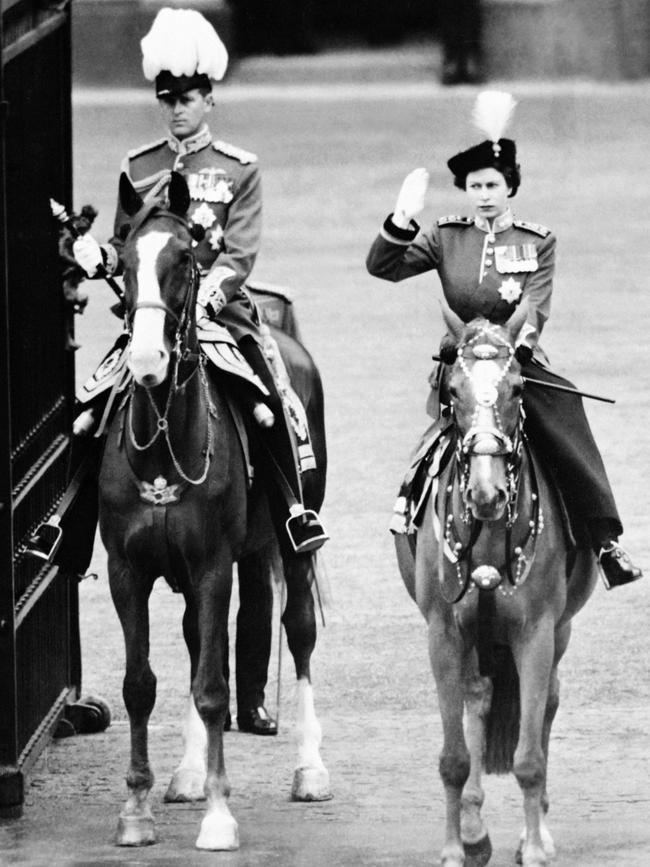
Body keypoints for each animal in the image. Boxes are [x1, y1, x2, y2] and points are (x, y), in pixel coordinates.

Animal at [99, 173, 332, 852]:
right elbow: (141, 685)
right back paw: (186, 772)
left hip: (292, 542)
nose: (147, 360)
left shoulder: (210, 568)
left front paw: (219, 816)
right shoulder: (127, 572)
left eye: (186, 258)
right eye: (122, 259)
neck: (163, 444)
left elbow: (210, 687)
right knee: (197, 640)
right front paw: (136, 810)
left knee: (298, 631)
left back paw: (309, 769)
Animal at [392, 308, 596, 864]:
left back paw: (536, 828)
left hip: (560, 632)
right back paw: (473, 827)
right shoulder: (443, 635)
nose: (487, 492)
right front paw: (455, 847)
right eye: (453, 390)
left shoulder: (537, 633)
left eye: (517, 388)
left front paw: (535, 847)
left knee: (546, 704)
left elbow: (529, 757)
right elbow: (455, 758)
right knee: (479, 699)